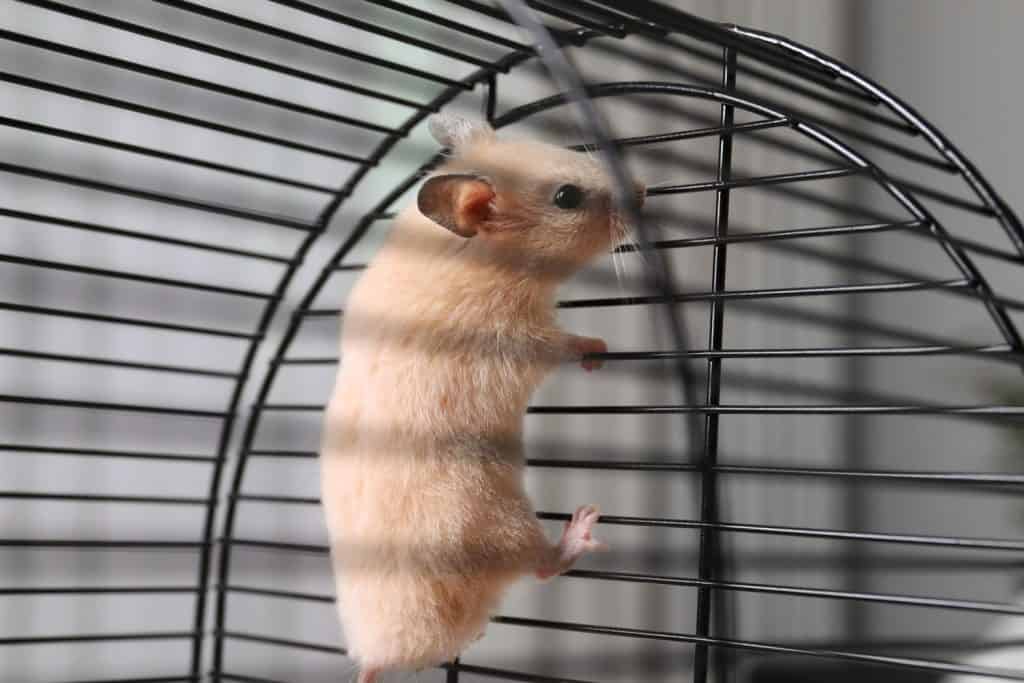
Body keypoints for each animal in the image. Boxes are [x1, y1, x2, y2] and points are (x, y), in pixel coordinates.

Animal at [319, 114, 645, 683]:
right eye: (567, 197)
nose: (646, 191)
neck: (469, 255)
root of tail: (380, 654)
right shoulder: (518, 336)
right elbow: (564, 343)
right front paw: (597, 351)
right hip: (498, 520)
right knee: (544, 566)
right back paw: (582, 528)